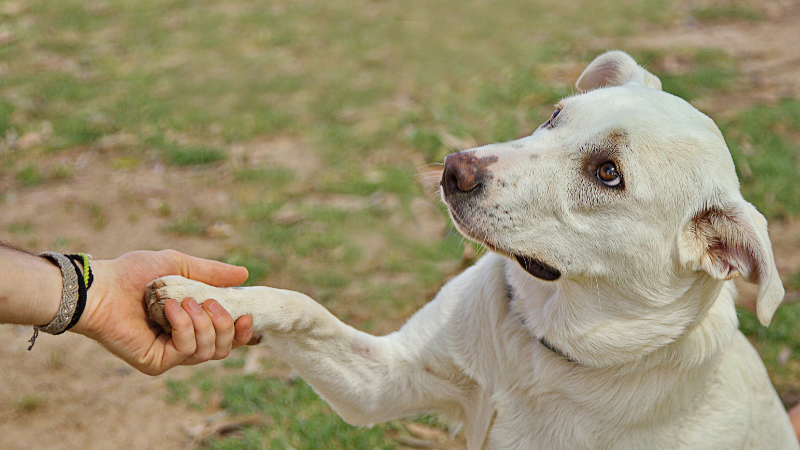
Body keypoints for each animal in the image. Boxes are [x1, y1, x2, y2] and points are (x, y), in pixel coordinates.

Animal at [145, 51, 800, 448]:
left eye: (608, 173)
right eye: (554, 116)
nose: (453, 167)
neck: (545, 350)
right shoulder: (384, 381)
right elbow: (300, 305)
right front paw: (203, 297)